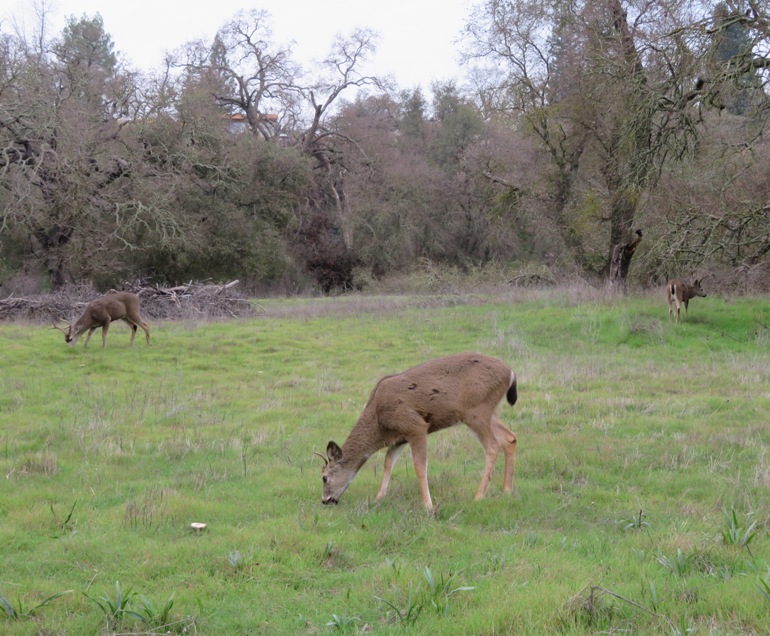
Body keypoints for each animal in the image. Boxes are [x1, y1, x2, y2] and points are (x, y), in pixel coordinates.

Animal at [316, 352, 520, 512]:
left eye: (324, 478)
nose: (325, 500)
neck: (378, 423)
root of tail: (511, 372)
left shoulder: (416, 426)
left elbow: (420, 466)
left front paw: (428, 505)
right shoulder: (398, 438)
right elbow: (388, 463)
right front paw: (378, 498)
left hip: (476, 410)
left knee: (493, 446)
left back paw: (479, 496)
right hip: (489, 411)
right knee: (510, 437)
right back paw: (507, 490)